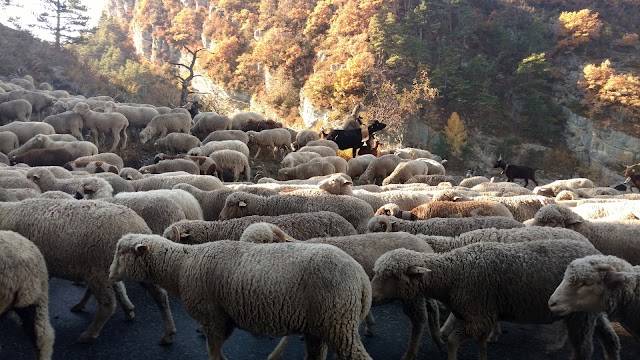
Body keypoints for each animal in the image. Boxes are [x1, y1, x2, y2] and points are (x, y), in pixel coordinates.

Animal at [108, 233, 372, 360]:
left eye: (121, 252)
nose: (110, 274)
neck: (180, 267)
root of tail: (362, 280)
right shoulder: (225, 319)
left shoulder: (212, 317)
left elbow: (213, 352)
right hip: (320, 326)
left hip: (338, 323)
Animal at [370, 240, 620, 360]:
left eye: (391, 275)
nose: (371, 296)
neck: (453, 273)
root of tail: (596, 253)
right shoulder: (483, 315)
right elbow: (481, 344)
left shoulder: (478, 316)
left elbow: (452, 341)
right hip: (588, 313)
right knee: (610, 339)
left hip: (580, 316)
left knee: (584, 350)